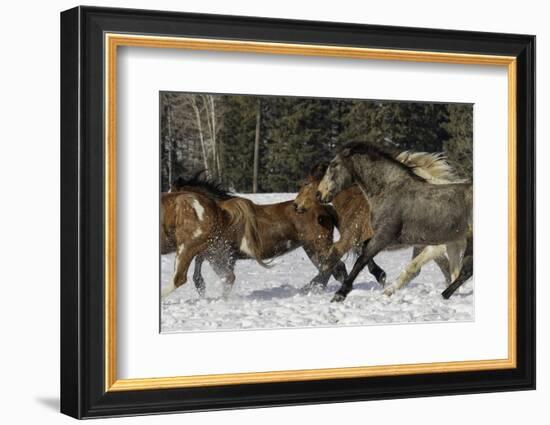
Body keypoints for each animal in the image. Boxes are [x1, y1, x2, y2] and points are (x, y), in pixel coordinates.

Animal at [161, 175, 350, 298]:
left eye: (171, 193)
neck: (222, 214)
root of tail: (325, 208)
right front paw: (202, 288)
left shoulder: (221, 252)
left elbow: (222, 275)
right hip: (312, 248)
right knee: (331, 268)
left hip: (316, 246)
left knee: (333, 267)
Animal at [320, 142, 474, 302]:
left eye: (333, 165)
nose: (320, 194)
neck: (390, 191)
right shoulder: (396, 240)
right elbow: (363, 249)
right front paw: (379, 275)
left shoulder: (385, 237)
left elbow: (362, 259)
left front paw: (340, 294)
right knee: (464, 271)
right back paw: (446, 294)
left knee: (465, 270)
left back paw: (443, 294)